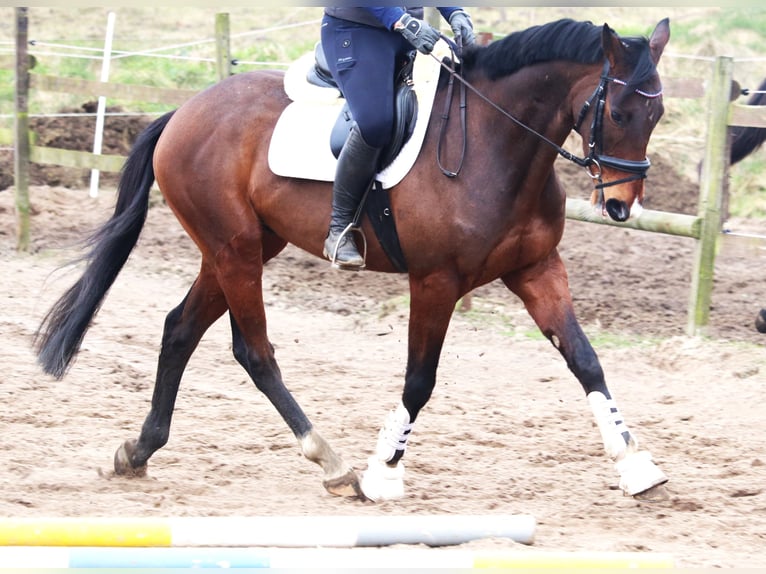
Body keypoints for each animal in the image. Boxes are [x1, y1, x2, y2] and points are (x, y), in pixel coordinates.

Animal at [34, 18, 672, 504]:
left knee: (179, 329)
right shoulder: (436, 281)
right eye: (618, 113)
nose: (621, 205)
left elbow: (586, 361)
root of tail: (184, 111)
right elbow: (419, 380)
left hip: (241, 247)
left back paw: (138, 451)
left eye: (657, 115)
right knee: (254, 352)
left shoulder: (536, 269)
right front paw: (383, 471)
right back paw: (332, 462)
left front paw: (635, 466)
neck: (496, 144)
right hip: (234, 250)